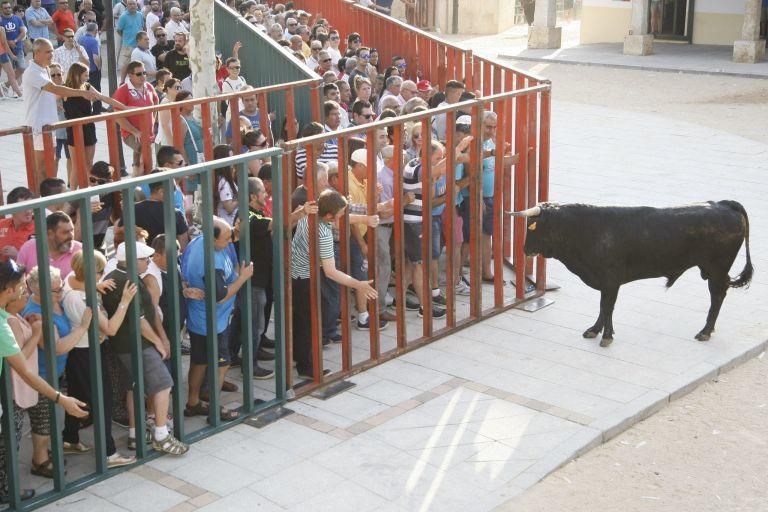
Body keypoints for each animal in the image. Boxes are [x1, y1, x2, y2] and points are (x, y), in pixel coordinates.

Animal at [520, 200, 752, 348]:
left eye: (533, 228)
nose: (525, 250)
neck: (585, 230)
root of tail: (723, 204)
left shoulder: (611, 280)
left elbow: (607, 306)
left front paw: (606, 336)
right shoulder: (605, 282)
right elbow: (602, 307)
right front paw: (595, 330)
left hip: (717, 269)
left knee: (717, 295)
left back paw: (705, 331)